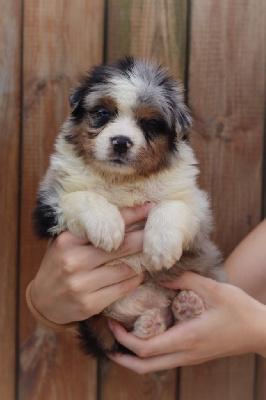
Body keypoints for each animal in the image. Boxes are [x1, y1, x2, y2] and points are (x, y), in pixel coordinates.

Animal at [33, 55, 224, 356]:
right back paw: (150, 324)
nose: (121, 142)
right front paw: (108, 227)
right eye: (103, 113)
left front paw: (160, 247)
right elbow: (81, 196)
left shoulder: (194, 201)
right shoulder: (49, 203)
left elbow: (170, 207)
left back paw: (185, 309)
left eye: (149, 123)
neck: (123, 180)